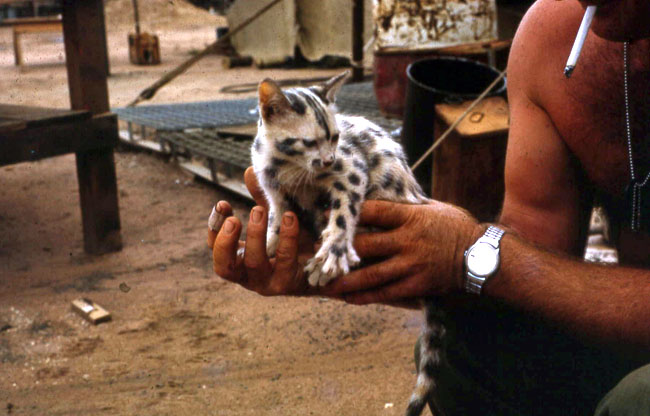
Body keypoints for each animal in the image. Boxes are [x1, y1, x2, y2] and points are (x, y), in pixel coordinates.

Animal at [253, 72, 446, 416]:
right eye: (309, 142)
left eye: (335, 137)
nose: (329, 159)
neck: (284, 166)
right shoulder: (272, 189)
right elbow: (277, 214)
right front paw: (270, 242)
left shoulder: (351, 168)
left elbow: (343, 213)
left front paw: (332, 253)